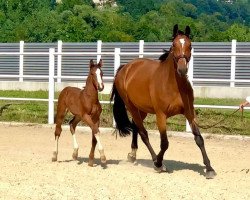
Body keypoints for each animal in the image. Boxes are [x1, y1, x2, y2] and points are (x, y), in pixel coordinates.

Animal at [110, 24, 216, 179]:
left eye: (190, 45)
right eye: (174, 45)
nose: (182, 69)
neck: (173, 85)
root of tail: (125, 68)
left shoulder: (189, 113)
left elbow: (199, 138)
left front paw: (209, 168)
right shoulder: (161, 115)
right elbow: (165, 143)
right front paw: (159, 164)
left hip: (142, 109)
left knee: (136, 127)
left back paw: (132, 155)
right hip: (132, 107)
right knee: (143, 134)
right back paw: (155, 160)